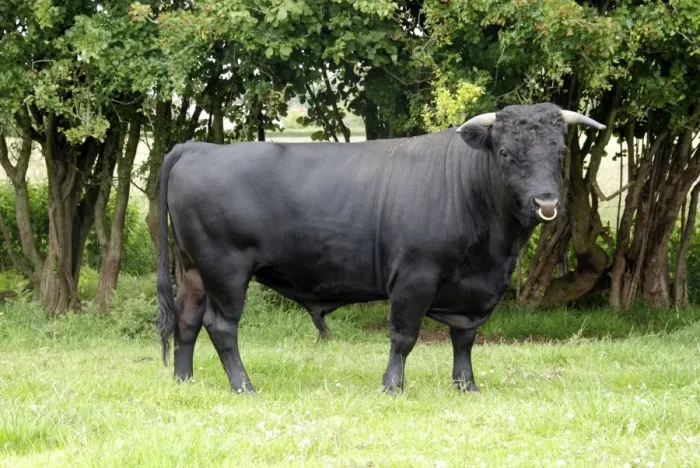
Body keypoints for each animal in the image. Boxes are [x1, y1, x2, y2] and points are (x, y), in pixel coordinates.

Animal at [156, 103, 605, 394]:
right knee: (220, 326)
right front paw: (392, 386)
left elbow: (464, 337)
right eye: (507, 152)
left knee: (187, 320)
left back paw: (184, 381)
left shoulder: (473, 289)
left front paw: (466, 385)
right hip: (225, 268)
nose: (546, 202)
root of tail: (197, 147)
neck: (493, 253)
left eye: (560, 152)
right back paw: (243, 385)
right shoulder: (415, 275)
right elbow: (404, 335)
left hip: (194, 269)